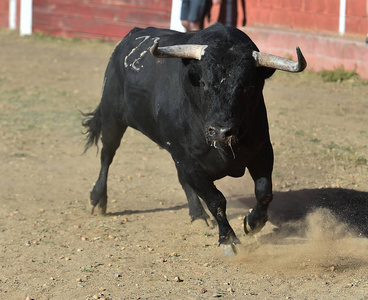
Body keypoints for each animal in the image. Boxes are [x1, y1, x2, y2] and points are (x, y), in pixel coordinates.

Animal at [82, 24, 304, 253]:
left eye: (248, 86)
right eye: (204, 83)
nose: (221, 132)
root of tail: (132, 34)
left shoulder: (262, 150)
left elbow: (264, 192)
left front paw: (252, 223)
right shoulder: (188, 159)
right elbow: (216, 200)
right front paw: (228, 239)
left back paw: (197, 215)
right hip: (112, 117)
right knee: (107, 155)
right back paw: (97, 200)